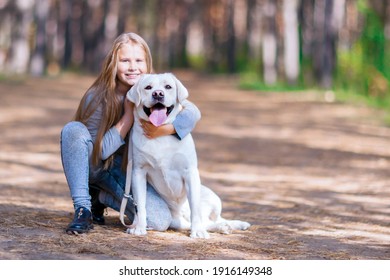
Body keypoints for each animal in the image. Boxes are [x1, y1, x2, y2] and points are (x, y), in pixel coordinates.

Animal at [126, 72, 251, 238]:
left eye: (168, 87)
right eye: (148, 87)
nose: (158, 94)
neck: (160, 133)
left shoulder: (190, 172)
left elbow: (195, 209)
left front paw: (197, 232)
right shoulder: (138, 172)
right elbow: (140, 204)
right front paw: (139, 227)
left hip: (214, 198)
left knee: (208, 218)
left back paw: (230, 225)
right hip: (175, 221)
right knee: (202, 222)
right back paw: (223, 227)